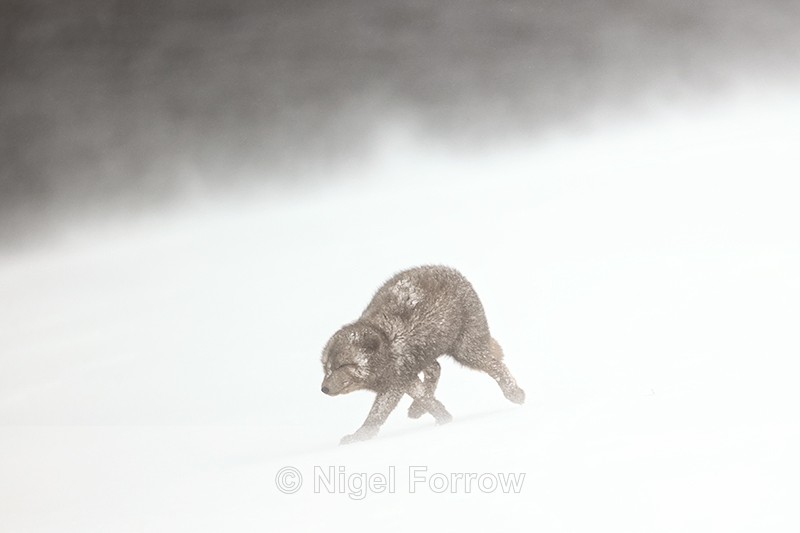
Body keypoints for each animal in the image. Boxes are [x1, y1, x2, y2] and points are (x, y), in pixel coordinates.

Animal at [321, 265, 525, 444]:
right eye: (326, 368)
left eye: (342, 365)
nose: (324, 389)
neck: (388, 342)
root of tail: (453, 271)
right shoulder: (404, 377)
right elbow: (424, 397)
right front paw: (443, 418)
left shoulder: (395, 383)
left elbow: (377, 415)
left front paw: (359, 437)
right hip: (428, 355)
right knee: (436, 368)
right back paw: (417, 409)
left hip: (466, 351)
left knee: (496, 365)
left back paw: (515, 393)